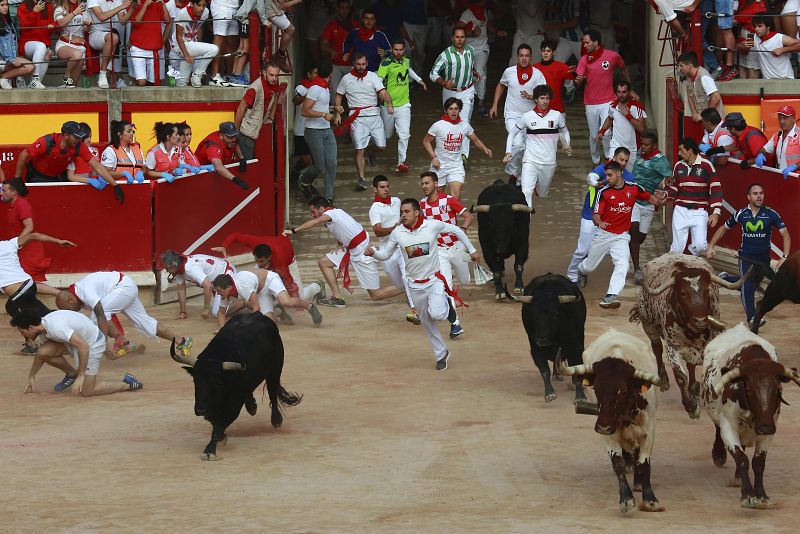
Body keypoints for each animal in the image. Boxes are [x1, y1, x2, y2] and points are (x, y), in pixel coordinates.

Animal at [172, 314, 304, 460]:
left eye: (217, 383)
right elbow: (214, 422)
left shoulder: (234, 405)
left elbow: (219, 425)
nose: (200, 409)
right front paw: (220, 438)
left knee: (272, 393)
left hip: (274, 370)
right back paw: (252, 406)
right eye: (195, 381)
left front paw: (210, 450)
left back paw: (276, 420)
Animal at [510, 274, 584, 404]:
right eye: (534, 315)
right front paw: (550, 394)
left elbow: (576, 370)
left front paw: (580, 396)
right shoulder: (535, 350)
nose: (542, 340)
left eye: (555, 314)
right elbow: (545, 371)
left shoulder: (575, 348)